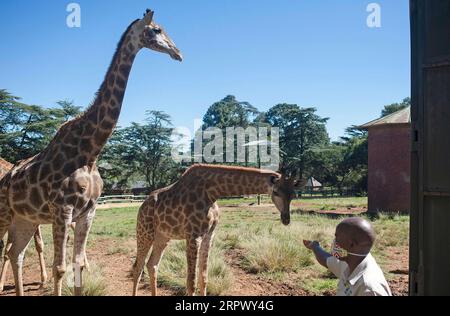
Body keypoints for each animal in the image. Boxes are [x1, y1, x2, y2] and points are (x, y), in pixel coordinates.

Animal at [0, 9, 183, 296]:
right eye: (156, 30)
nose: (178, 52)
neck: (91, 150)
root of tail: (5, 178)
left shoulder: (88, 213)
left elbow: (79, 264)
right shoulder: (62, 210)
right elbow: (60, 267)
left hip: (25, 218)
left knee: (14, 253)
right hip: (5, 213)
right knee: (7, 250)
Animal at [132, 164, 304, 296]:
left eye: (293, 195)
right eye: (275, 192)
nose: (286, 219)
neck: (212, 193)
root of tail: (142, 206)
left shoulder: (209, 235)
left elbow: (204, 278)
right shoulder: (193, 236)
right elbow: (191, 283)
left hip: (162, 236)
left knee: (152, 265)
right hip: (144, 232)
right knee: (137, 267)